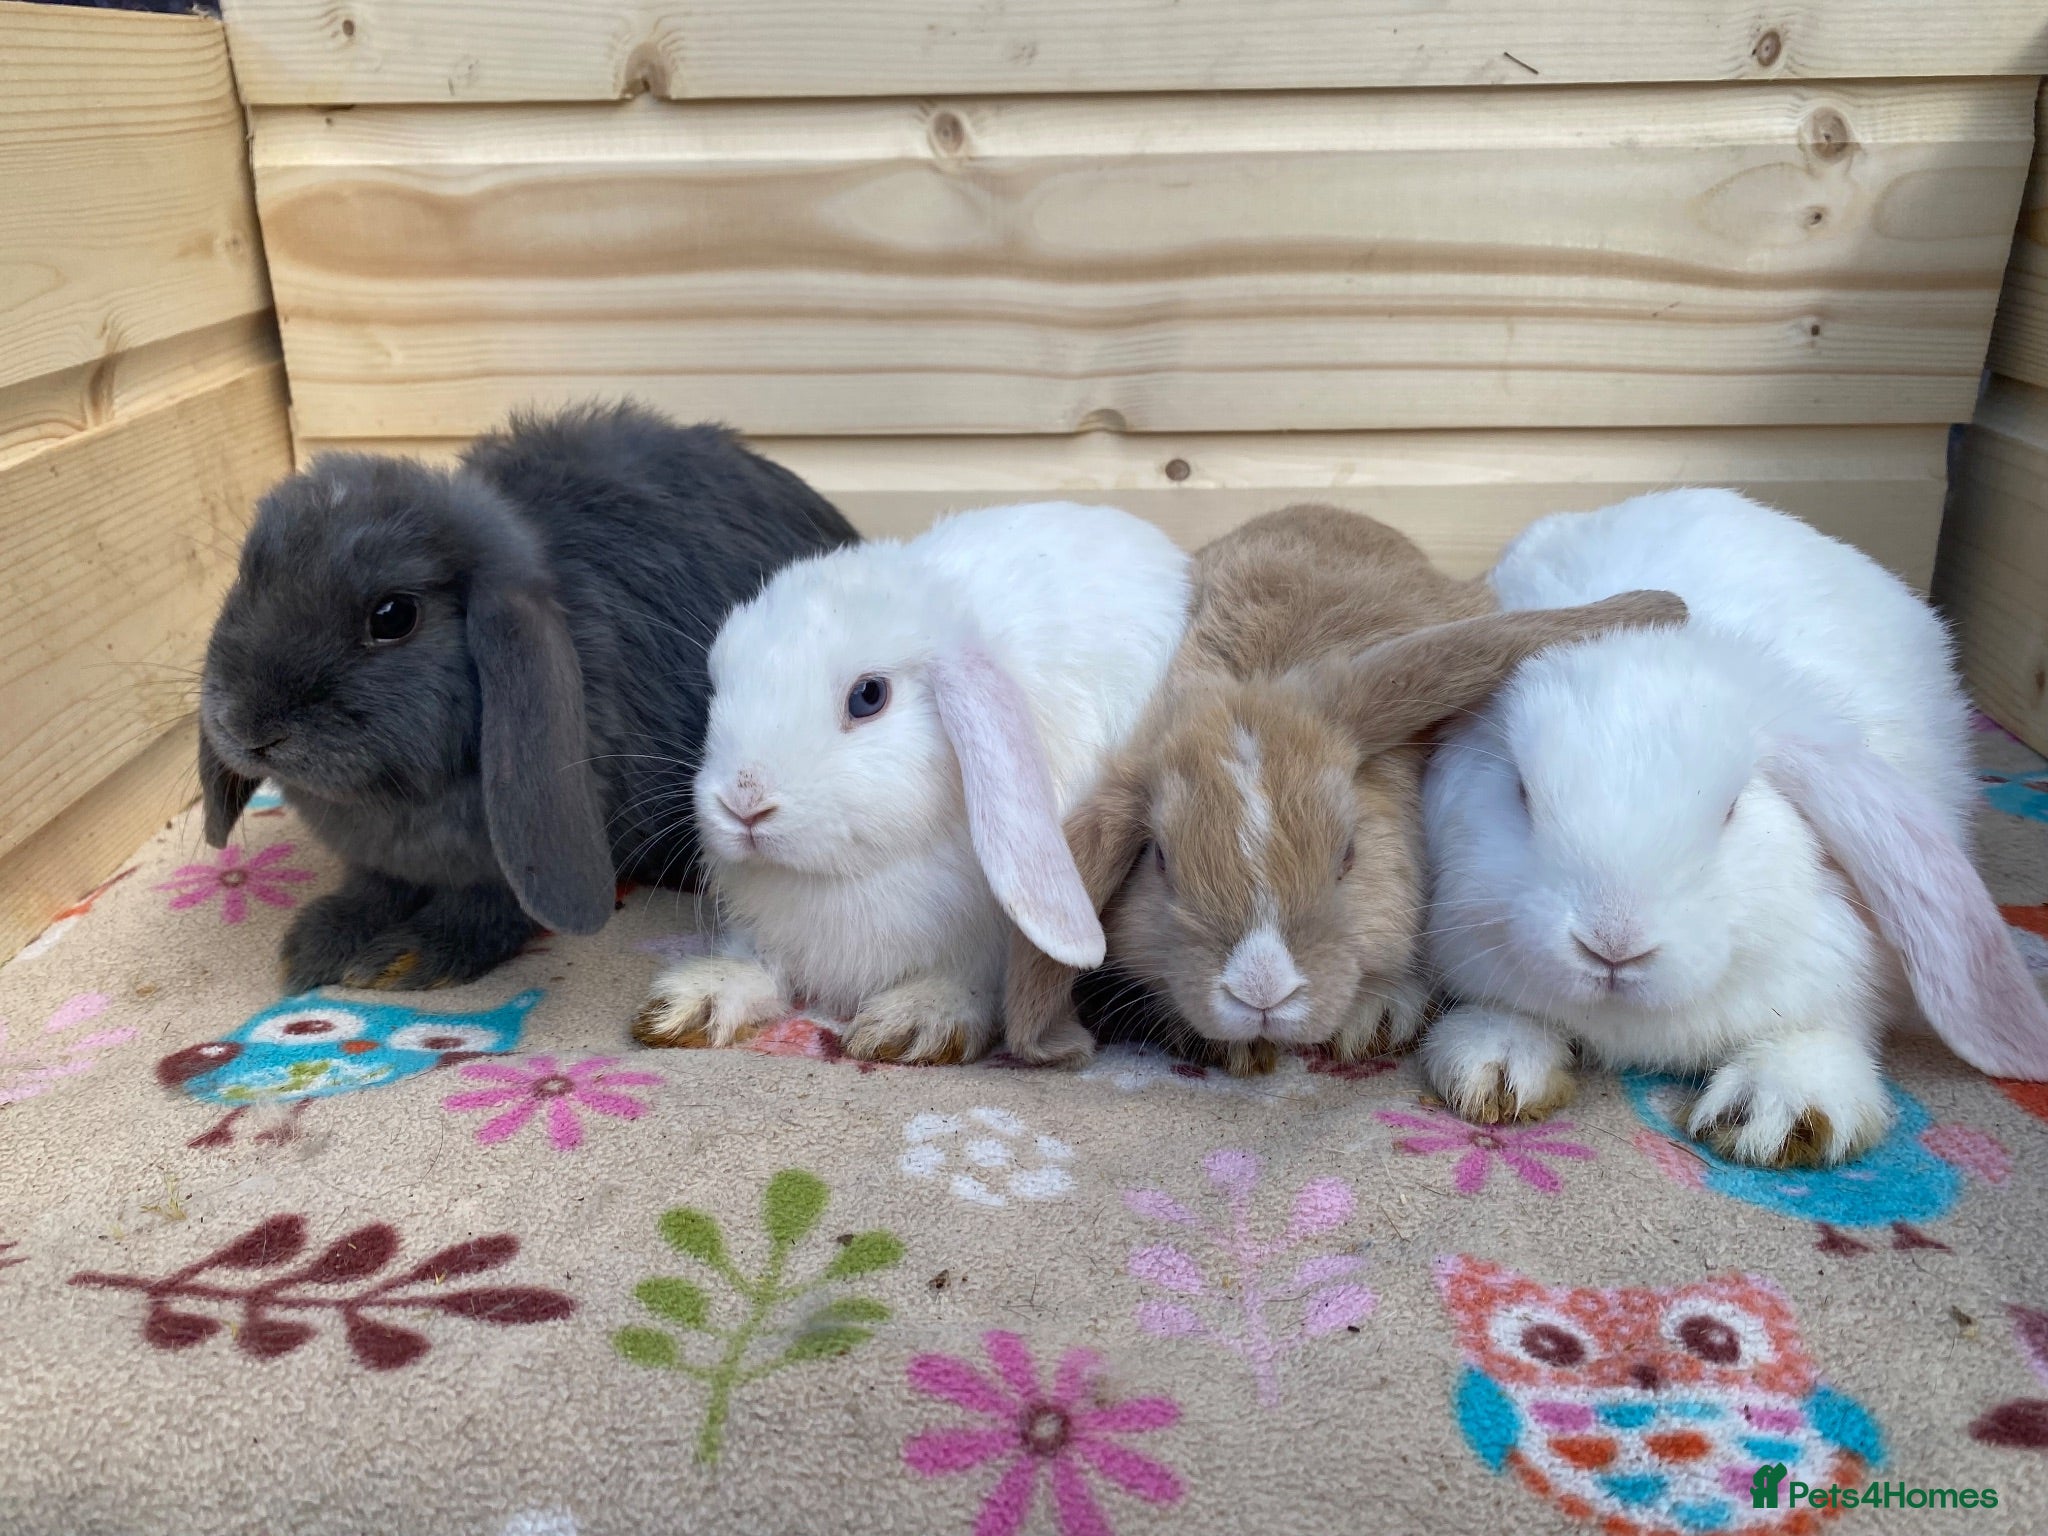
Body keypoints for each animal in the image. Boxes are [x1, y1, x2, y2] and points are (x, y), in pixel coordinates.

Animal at [199, 401, 859, 992]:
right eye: (248, 577)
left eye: (392, 616)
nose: (247, 728)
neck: (394, 803)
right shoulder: (380, 861)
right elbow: (374, 888)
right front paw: (318, 941)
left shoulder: (512, 858)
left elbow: (490, 906)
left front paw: (409, 957)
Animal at [631, 500, 1193, 1065]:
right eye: (718, 687)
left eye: (869, 696)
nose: (743, 802)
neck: (849, 877)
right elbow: (761, 967)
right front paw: (694, 1002)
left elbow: (977, 983)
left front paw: (917, 1022)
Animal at [1420, 488, 2048, 1168]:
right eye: (1521, 793)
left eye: (1732, 808)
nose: (1614, 946)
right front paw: (1495, 1065)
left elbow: (1822, 1028)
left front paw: (1780, 1114)